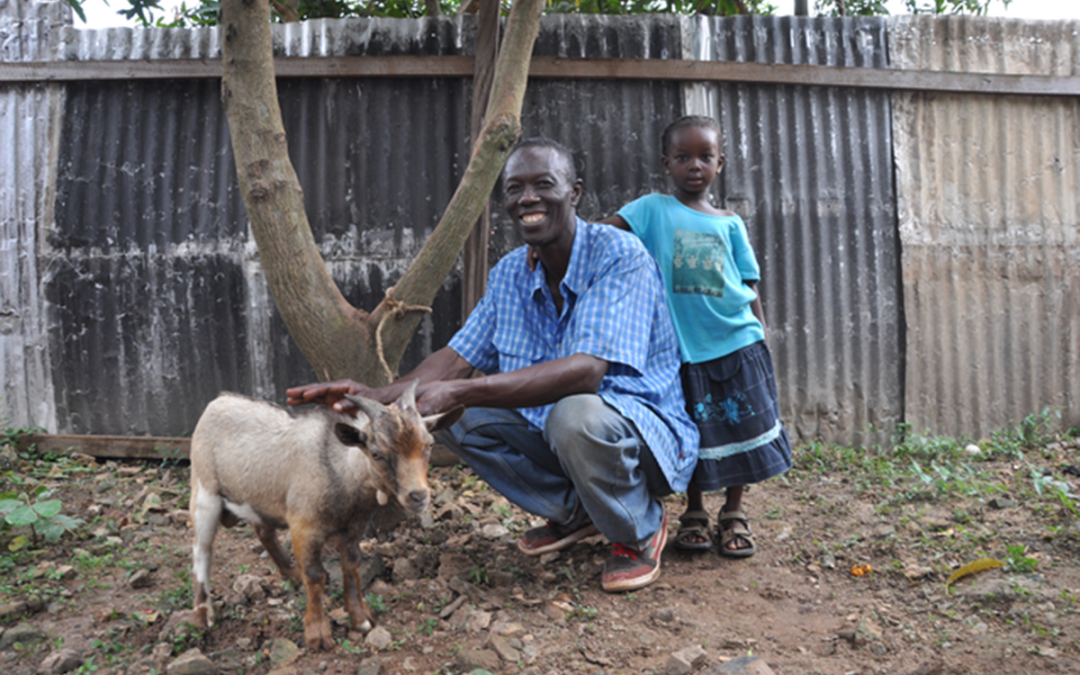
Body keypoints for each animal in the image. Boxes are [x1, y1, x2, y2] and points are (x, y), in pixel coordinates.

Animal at [188, 381, 461, 651]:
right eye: (376, 454)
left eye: (429, 446)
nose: (418, 496)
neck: (339, 469)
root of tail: (218, 401)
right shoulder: (304, 528)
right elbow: (315, 575)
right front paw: (317, 635)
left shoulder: (353, 530)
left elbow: (351, 566)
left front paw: (360, 618)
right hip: (204, 491)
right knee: (202, 550)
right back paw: (203, 613)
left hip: (259, 497)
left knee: (263, 530)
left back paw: (291, 575)